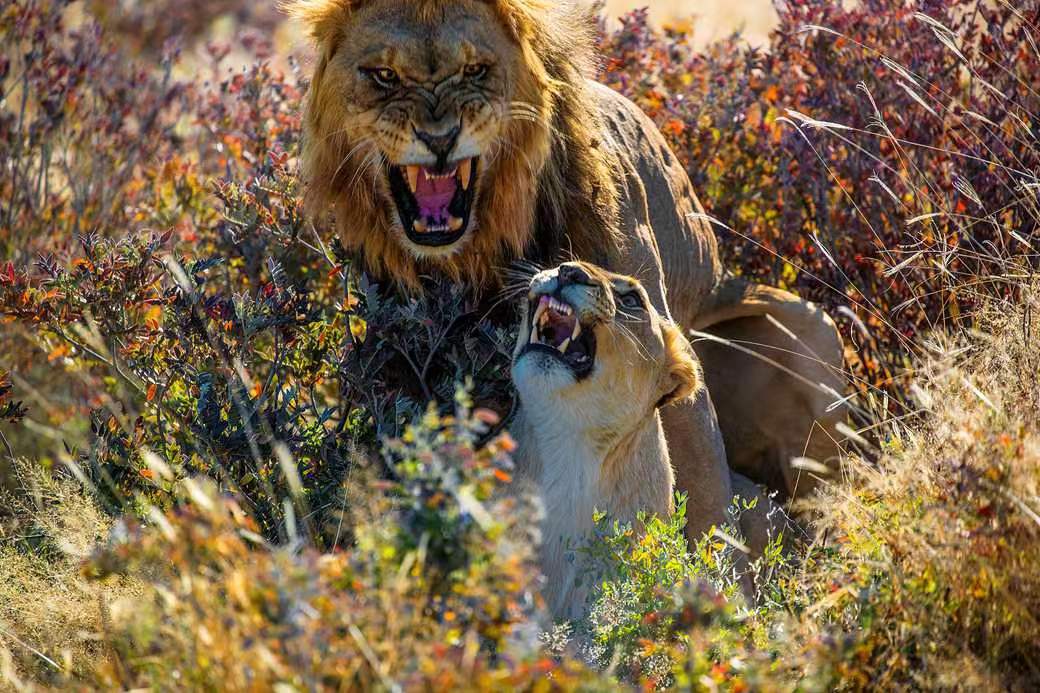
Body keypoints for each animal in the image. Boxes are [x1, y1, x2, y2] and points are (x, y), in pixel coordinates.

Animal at [289, 0, 848, 520]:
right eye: (384, 76)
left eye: (475, 71)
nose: (440, 138)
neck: (473, 256)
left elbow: (703, 492)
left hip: (812, 333)